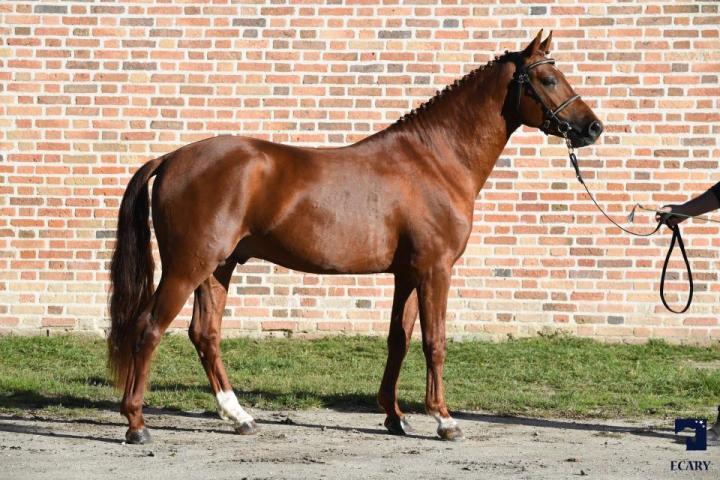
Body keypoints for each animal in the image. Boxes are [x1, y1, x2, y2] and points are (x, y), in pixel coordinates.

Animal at [108, 30, 603, 444]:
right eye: (547, 78)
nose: (593, 128)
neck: (434, 161)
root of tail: (172, 158)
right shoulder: (435, 270)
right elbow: (435, 341)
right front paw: (444, 420)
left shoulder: (407, 275)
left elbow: (398, 340)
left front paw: (395, 417)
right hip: (188, 266)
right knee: (149, 329)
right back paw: (136, 424)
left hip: (218, 268)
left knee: (204, 335)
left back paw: (239, 417)